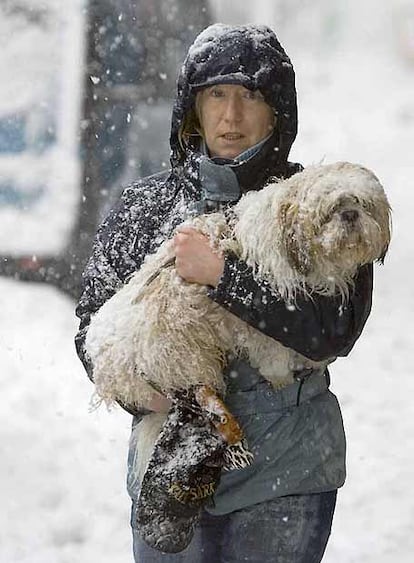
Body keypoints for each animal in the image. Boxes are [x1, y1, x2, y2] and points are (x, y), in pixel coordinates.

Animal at [85, 161, 392, 412]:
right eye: (331, 210)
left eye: (362, 204)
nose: (350, 214)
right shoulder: (259, 323)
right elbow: (274, 351)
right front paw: (283, 375)